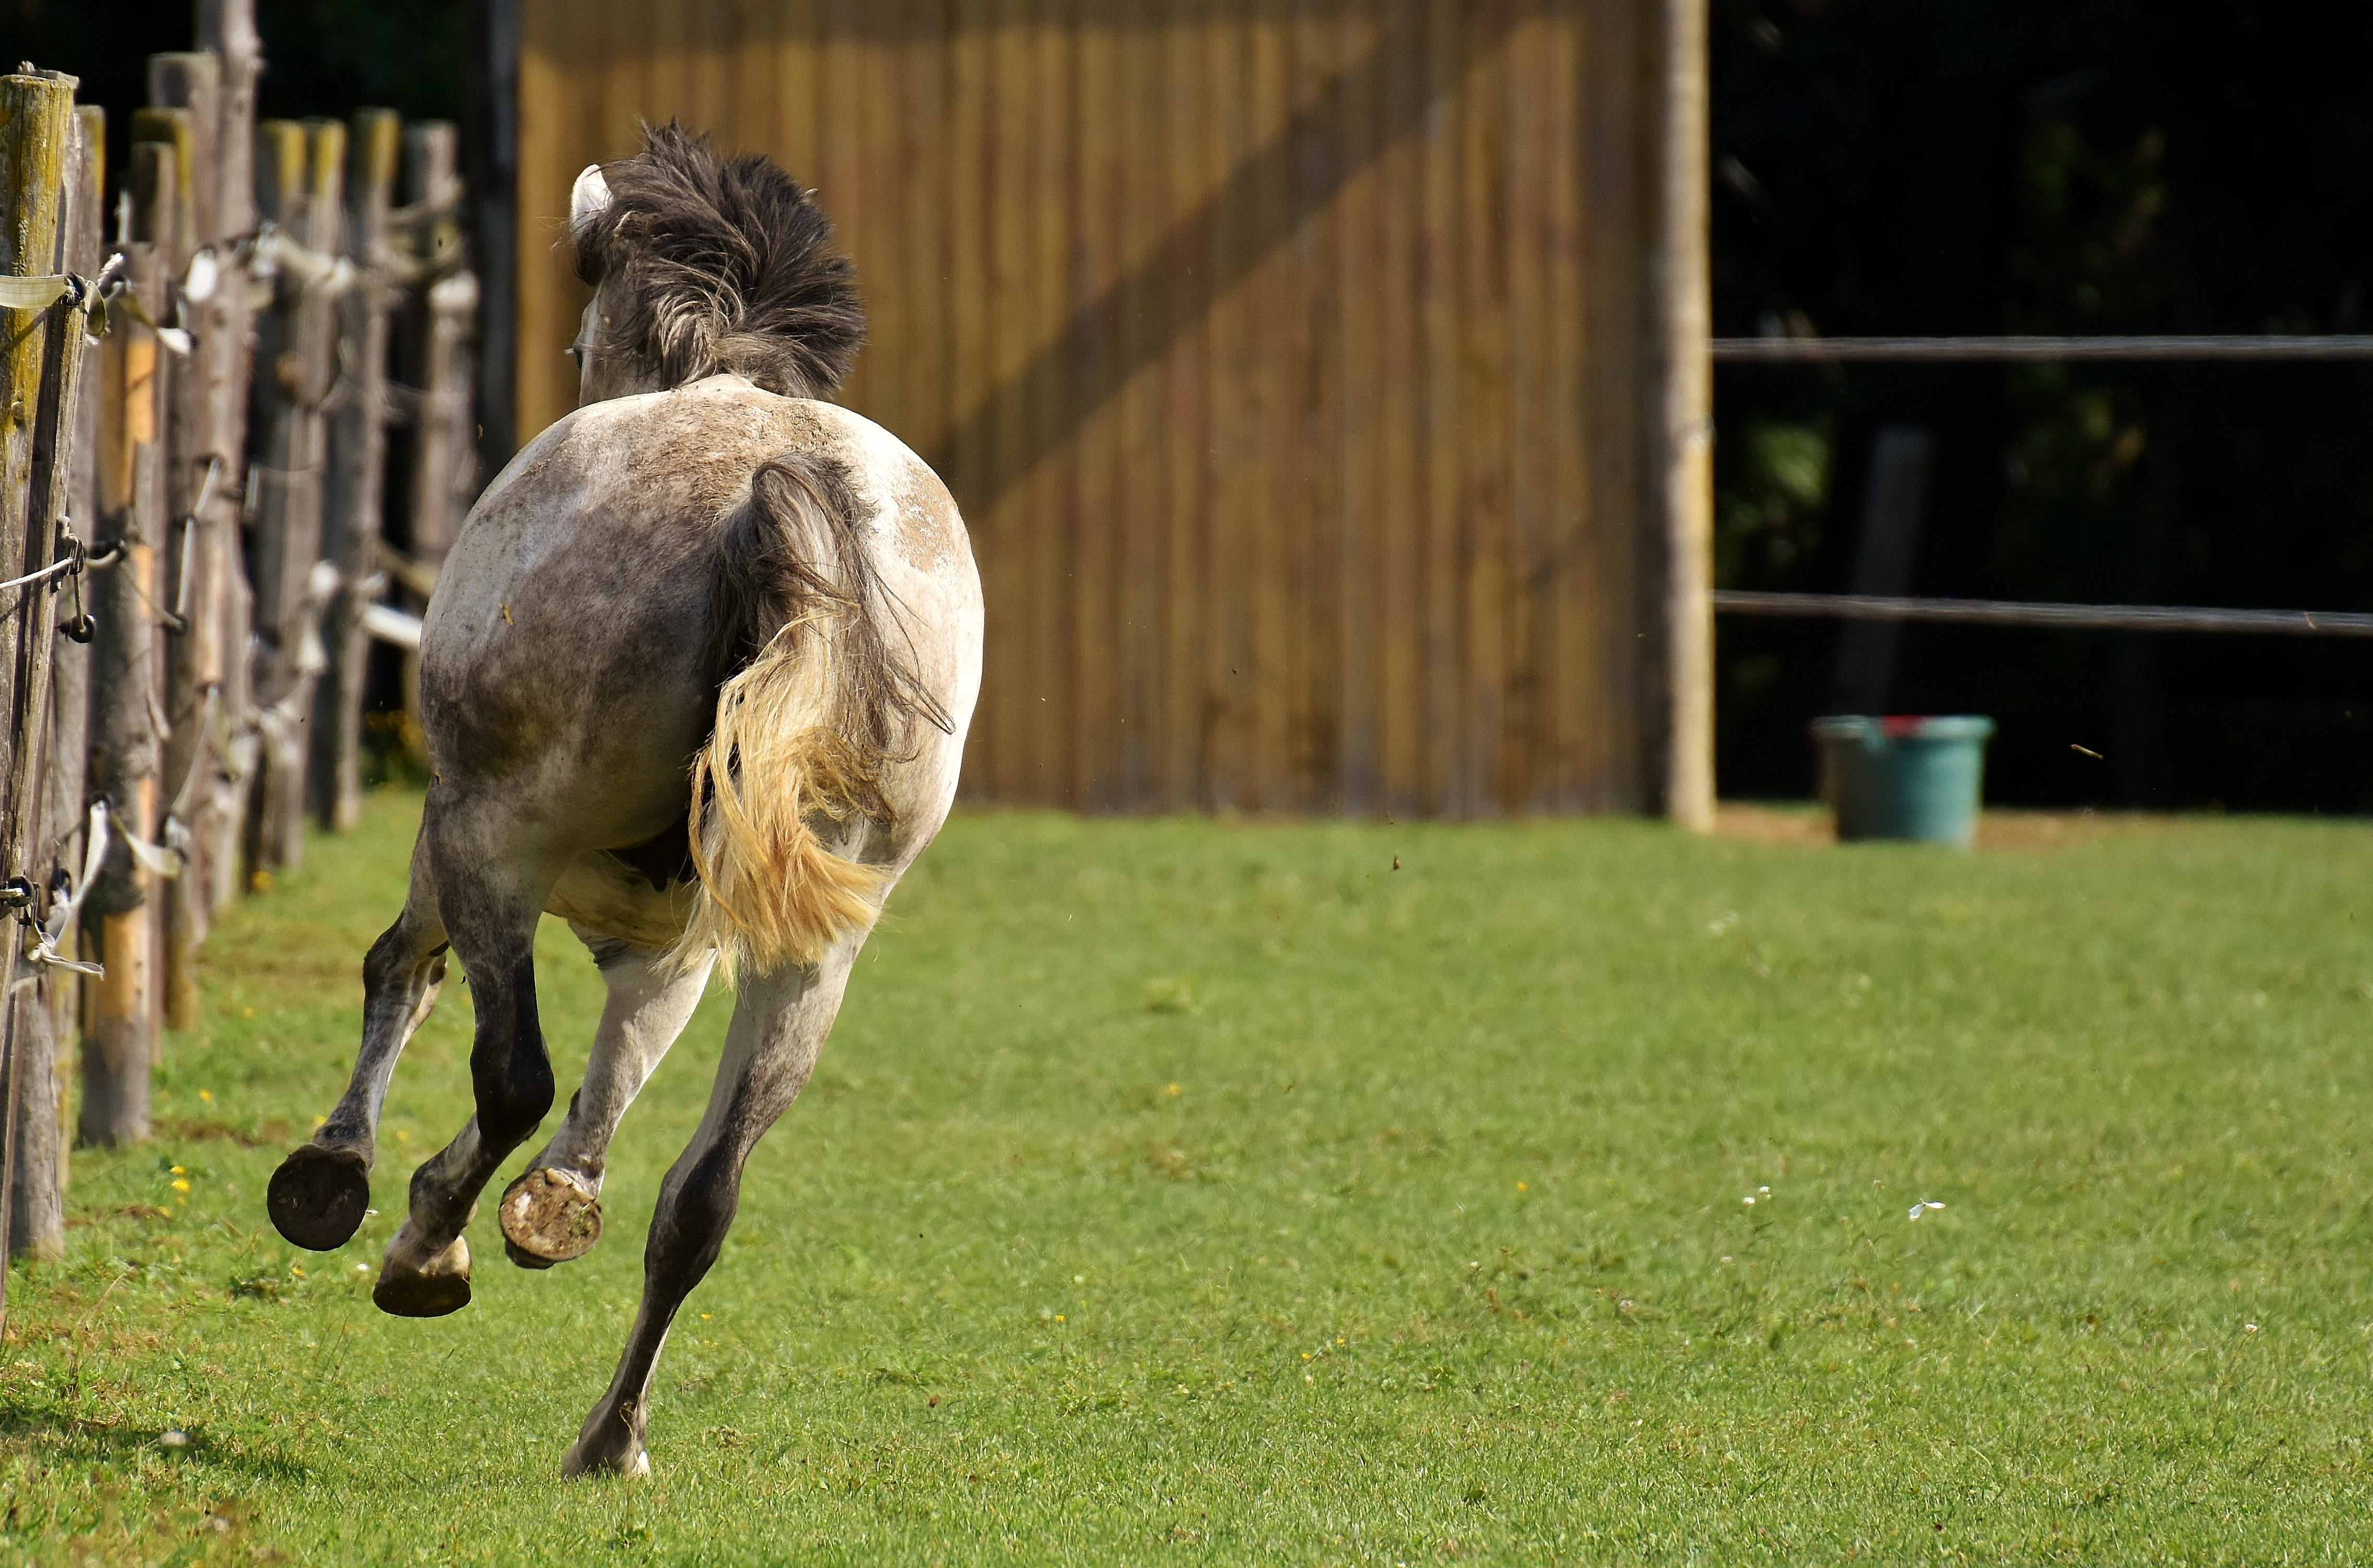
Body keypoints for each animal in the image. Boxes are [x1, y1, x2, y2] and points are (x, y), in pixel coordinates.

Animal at [260, 123, 983, 1478]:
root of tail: (777, 483)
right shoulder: (682, 941)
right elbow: (617, 1077)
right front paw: (558, 1200)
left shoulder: (457, 829)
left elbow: (407, 973)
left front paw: (340, 1172)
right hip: (814, 956)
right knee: (704, 1196)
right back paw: (609, 1434)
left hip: (498, 834)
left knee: (510, 1071)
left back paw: (424, 1253)